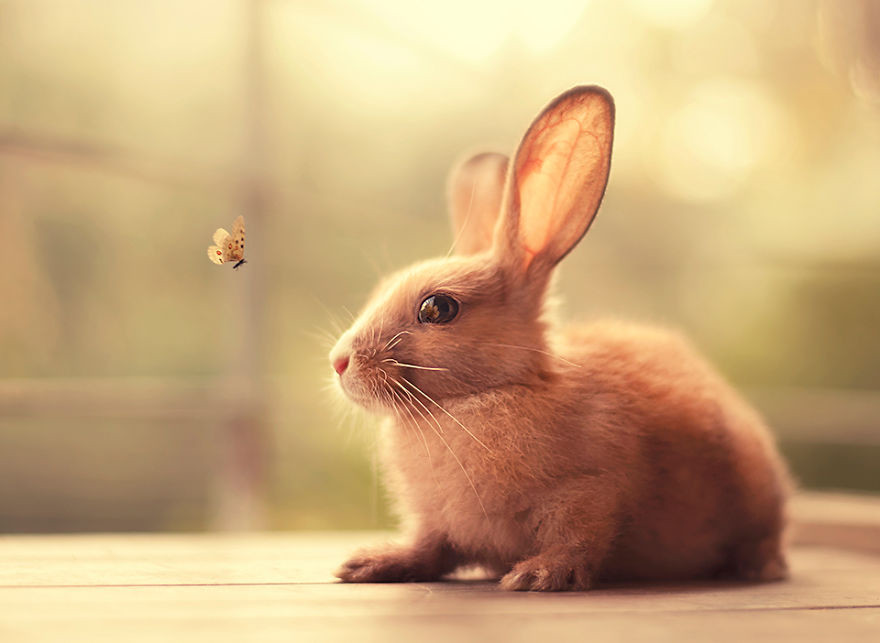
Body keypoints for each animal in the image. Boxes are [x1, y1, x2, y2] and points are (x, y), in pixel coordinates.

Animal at [328, 87, 792, 592]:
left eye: (438, 308)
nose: (339, 362)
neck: (479, 397)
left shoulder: (589, 493)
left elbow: (577, 540)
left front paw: (537, 575)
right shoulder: (437, 523)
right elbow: (429, 548)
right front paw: (370, 564)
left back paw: (760, 566)